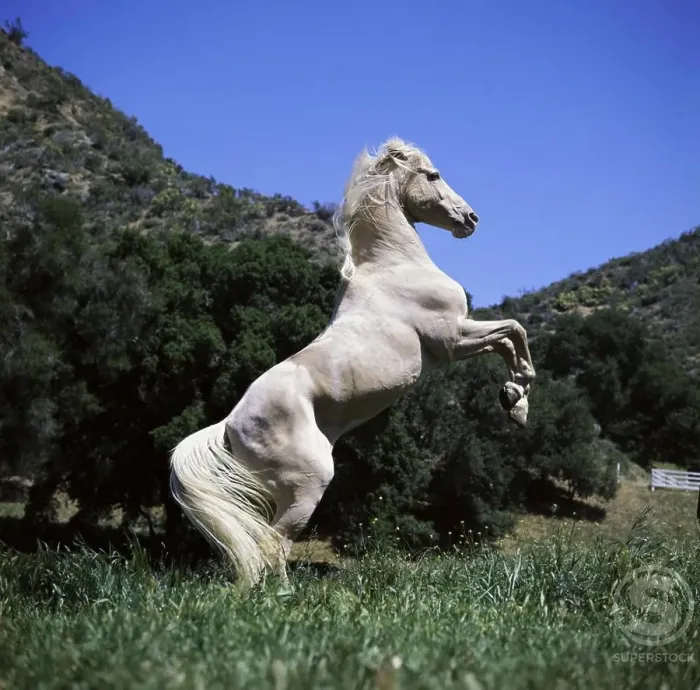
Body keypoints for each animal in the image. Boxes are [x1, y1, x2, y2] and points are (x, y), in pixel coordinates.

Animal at [169, 137, 536, 589]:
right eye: (433, 175)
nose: (471, 218)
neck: (395, 266)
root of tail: (229, 427)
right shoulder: (453, 339)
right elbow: (513, 332)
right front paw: (517, 397)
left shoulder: (459, 338)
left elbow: (510, 338)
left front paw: (513, 403)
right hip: (308, 484)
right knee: (274, 543)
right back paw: (282, 598)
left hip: (275, 492)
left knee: (265, 542)